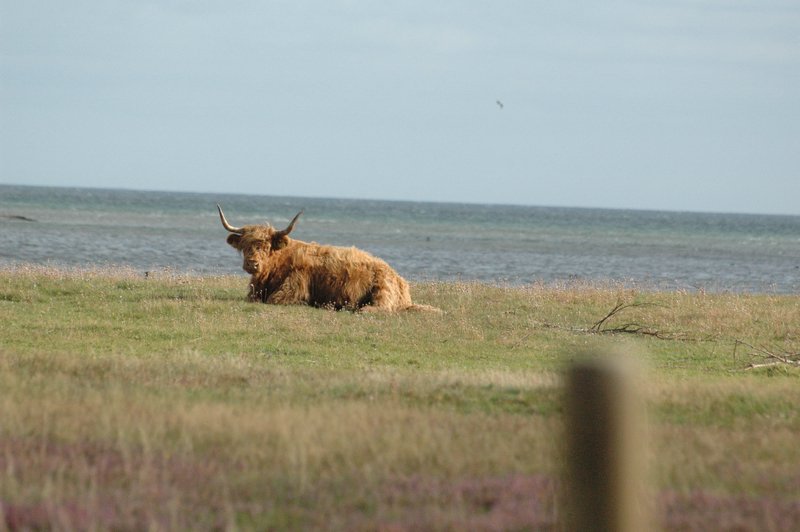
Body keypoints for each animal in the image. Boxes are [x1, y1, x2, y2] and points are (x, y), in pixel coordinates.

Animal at [217, 204, 438, 312]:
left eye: (266, 246)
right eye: (244, 246)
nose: (252, 264)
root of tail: (401, 281)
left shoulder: (292, 289)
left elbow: (275, 300)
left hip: (382, 290)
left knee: (381, 308)